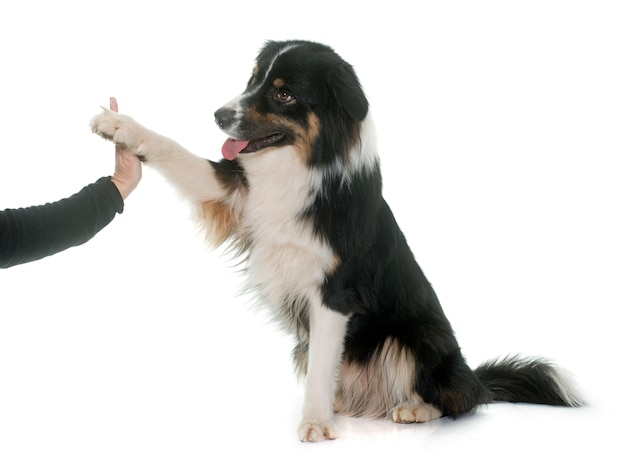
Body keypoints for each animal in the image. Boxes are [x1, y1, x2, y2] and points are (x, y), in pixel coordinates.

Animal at [90, 40, 584, 442]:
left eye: (284, 94)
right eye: (253, 79)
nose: (218, 116)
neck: (299, 164)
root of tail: (475, 376)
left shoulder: (334, 293)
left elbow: (324, 364)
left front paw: (314, 423)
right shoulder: (234, 191)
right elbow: (172, 150)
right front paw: (119, 126)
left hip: (417, 337)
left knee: (456, 398)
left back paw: (414, 408)